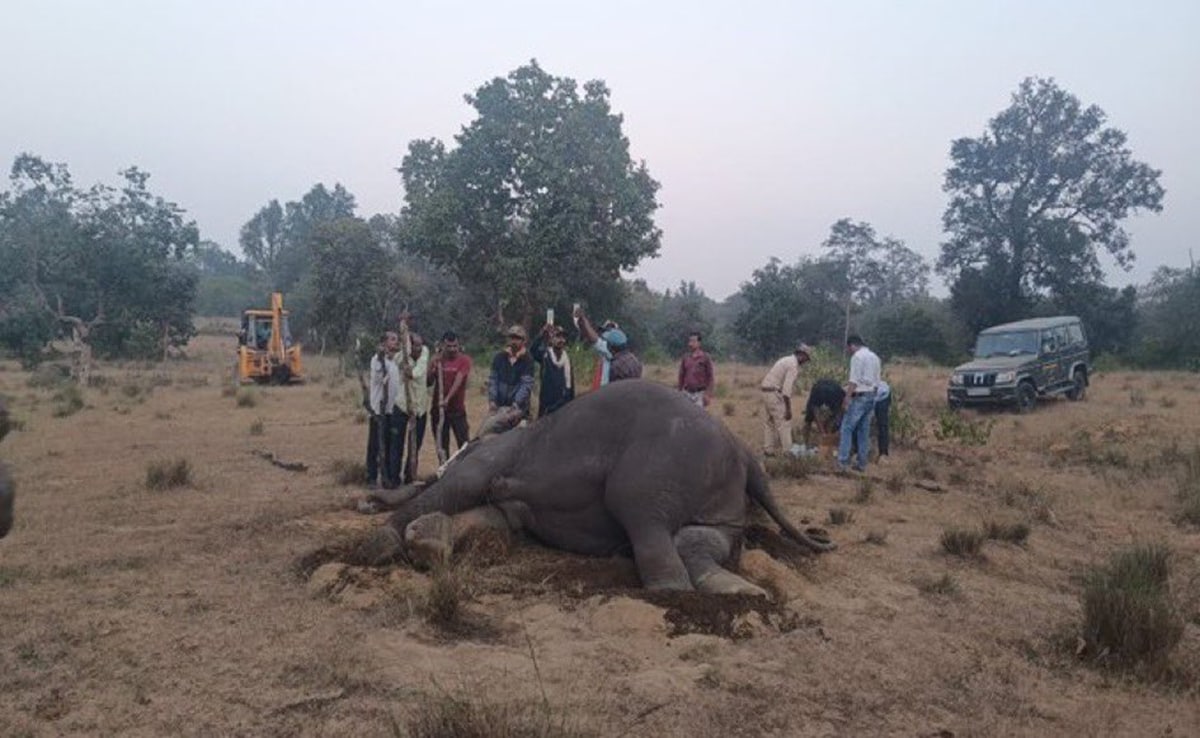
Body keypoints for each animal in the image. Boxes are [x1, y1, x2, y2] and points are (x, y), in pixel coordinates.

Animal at [355, 381, 835, 595]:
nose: (365, 500)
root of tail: (743, 450)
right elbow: (495, 518)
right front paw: (425, 542)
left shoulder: (492, 456)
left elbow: (462, 486)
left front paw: (379, 546)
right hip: (719, 497)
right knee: (698, 539)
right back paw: (741, 591)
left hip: (652, 469)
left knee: (643, 517)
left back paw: (672, 592)